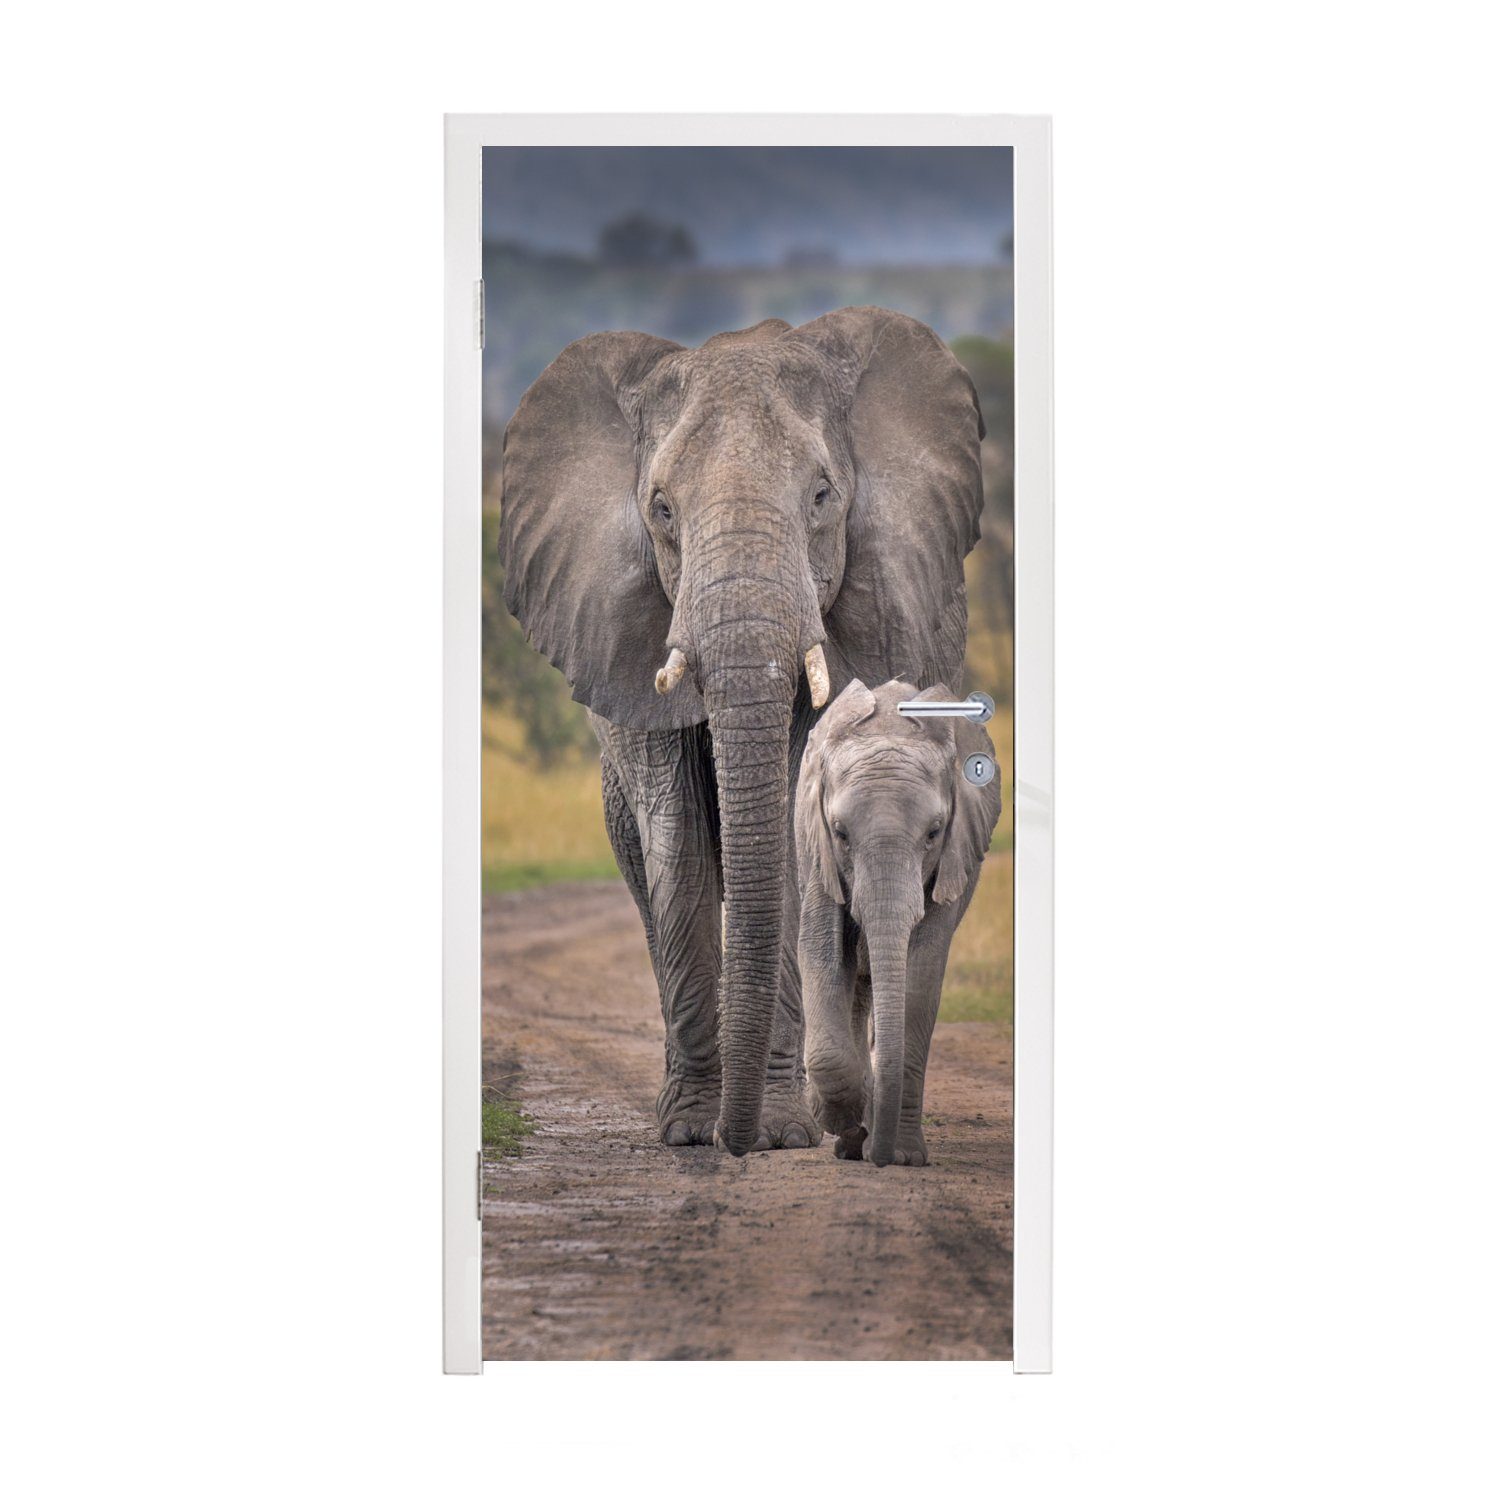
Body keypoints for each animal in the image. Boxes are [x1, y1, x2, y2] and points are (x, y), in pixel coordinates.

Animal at [792, 675, 1002, 1164]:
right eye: (840, 833)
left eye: (934, 832)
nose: (881, 1156)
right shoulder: (817, 853)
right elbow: (820, 952)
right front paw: (838, 1117)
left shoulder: (955, 859)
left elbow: (921, 975)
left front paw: (903, 1157)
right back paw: (852, 1140)